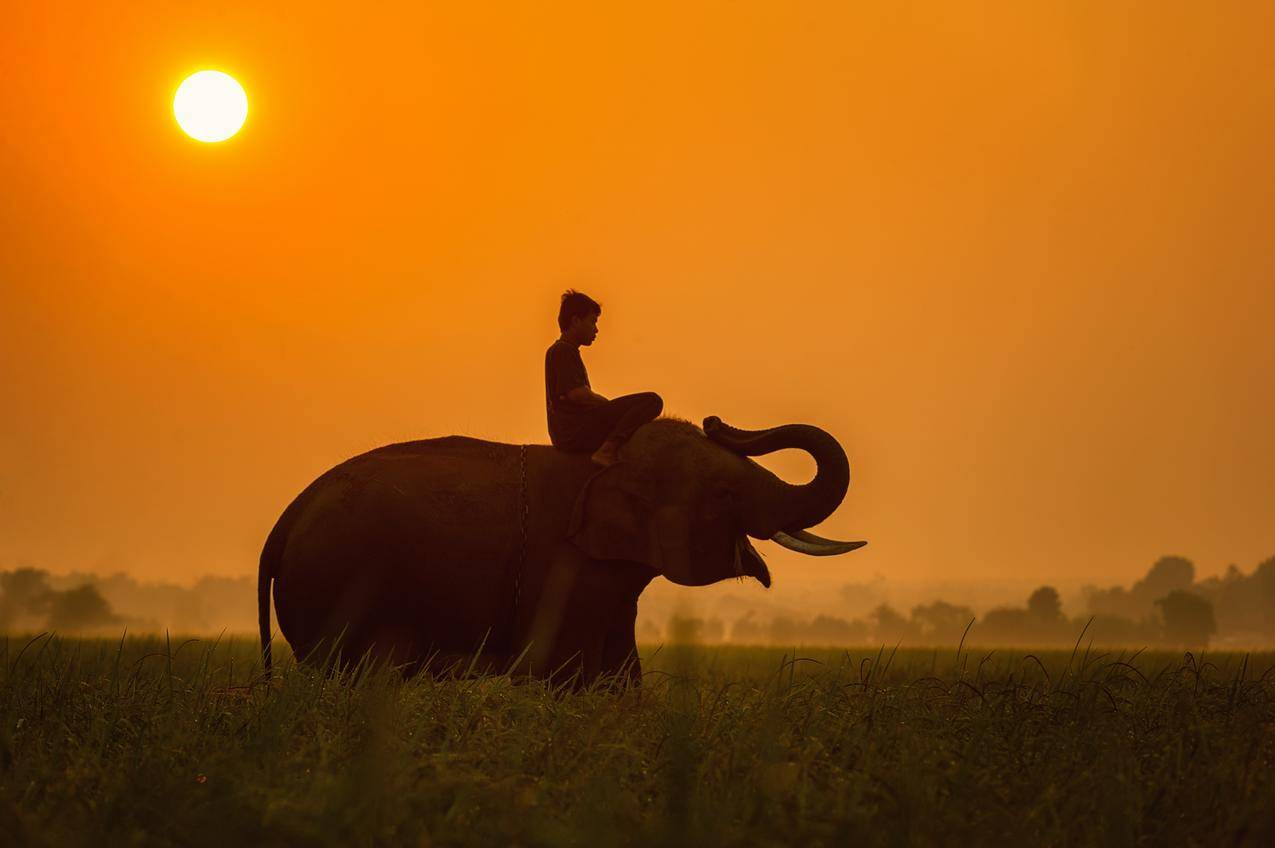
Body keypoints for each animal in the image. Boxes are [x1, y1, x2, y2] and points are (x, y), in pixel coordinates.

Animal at [253, 415, 861, 688]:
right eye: (726, 493)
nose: (716, 421)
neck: (609, 460)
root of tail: (282, 523)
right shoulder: (564, 568)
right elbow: (566, 673)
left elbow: (621, 674)